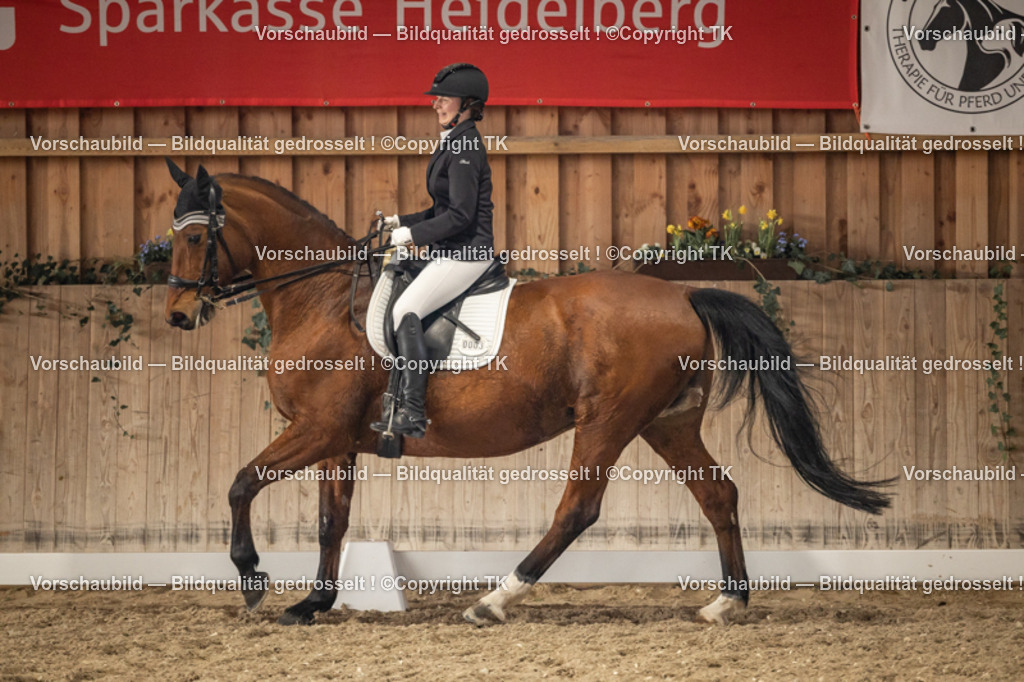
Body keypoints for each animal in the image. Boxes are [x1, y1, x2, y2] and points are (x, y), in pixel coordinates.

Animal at [163, 161, 891, 626]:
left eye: (196, 235)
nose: (176, 315)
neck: (319, 296)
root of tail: (683, 293)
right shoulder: (336, 440)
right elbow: (329, 522)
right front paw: (312, 604)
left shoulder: (315, 429)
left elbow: (240, 483)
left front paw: (253, 579)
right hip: (667, 423)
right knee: (719, 494)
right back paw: (726, 603)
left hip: (608, 420)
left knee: (577, 509)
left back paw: (494, 600)